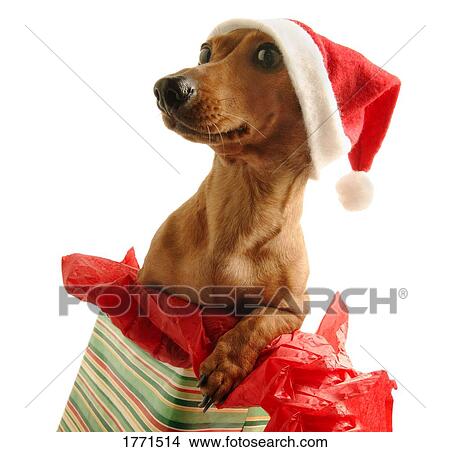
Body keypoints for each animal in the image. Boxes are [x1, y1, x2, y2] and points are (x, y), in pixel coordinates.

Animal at [139, 29, 312, 410]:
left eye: (267, 55)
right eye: (205, 52)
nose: (166, 88)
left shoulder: (294, 310)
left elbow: (257, 322)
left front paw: (225, 365)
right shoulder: (145, 285)